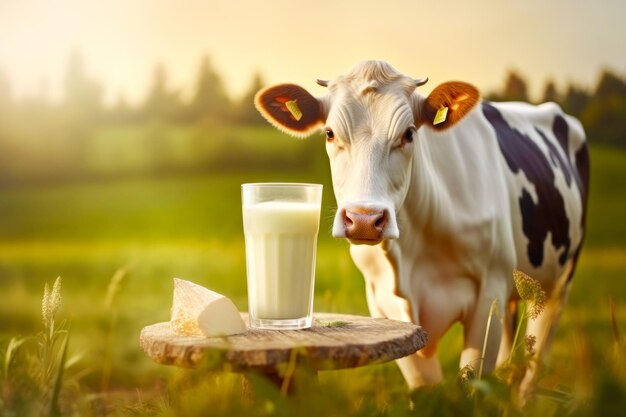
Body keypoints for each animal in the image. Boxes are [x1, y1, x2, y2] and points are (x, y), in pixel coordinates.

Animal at [251, 60, 588, 388]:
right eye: (330, 133)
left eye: (409, 134)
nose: (363, 220)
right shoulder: (385, 304)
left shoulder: (488, 295)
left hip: (557, 288)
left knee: (532, 369)